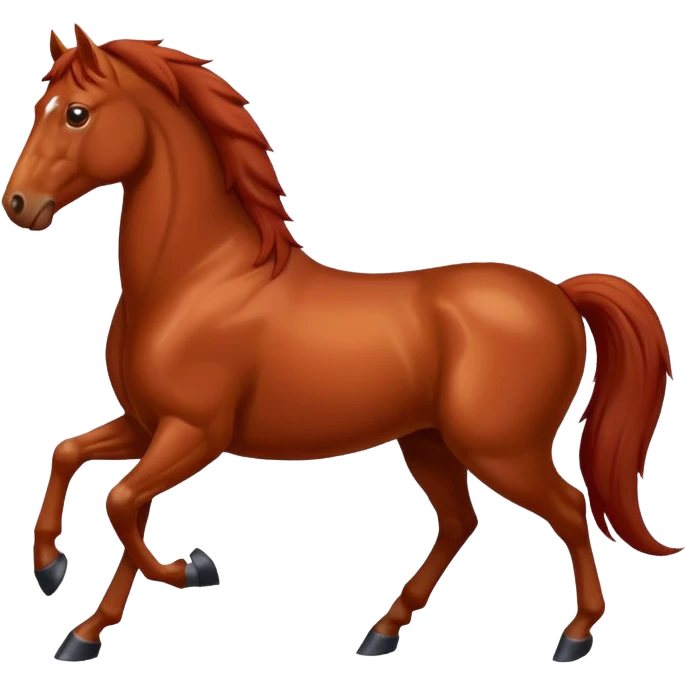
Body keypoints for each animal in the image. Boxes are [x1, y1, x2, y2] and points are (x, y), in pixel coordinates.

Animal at [3, 25, 680, 664]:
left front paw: (192, 568)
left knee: (569, 508)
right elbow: (74, 459)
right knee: (460, 522)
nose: (18, 205)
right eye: (40, 103)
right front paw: (68, 600)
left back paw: (575, 636)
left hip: (502, 450)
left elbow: (121, 502)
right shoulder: (147, 425)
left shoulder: (193, 433)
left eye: (76, 113)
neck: (197, 279)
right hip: (429, 442)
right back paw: (382, 631)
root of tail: (560, 294)